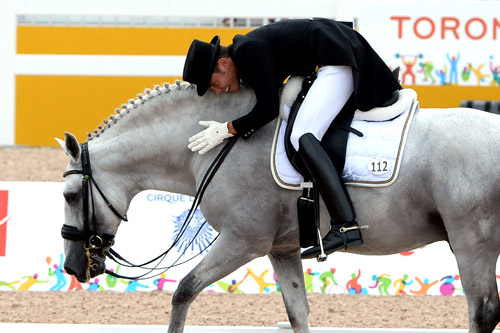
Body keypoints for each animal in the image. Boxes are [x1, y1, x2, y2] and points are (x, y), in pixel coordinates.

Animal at [56, 81, 500, 332]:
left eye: (70, 196)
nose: (73, 268)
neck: (220, 147)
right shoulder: (281, 250)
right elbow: (297, 313)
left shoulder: (242, 242)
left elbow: (183, 292)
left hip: (471, 243)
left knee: (482, 313)